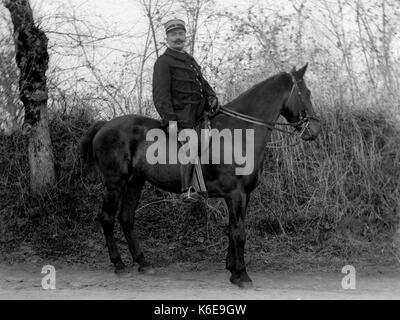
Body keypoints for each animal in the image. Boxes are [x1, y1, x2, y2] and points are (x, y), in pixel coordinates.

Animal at [79, 63, 320, 288]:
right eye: (306, 93)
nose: (314, 131)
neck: (239, 133)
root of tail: (105, 125)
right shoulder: (236, 194)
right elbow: (239, 233)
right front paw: (243, 275)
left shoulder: (244, 195)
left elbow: (232, 229)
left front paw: (232, 271)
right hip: (114, 184)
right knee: (107, 219)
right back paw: (119, 264)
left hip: (134, 183)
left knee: (126, 218)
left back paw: (143, 263)